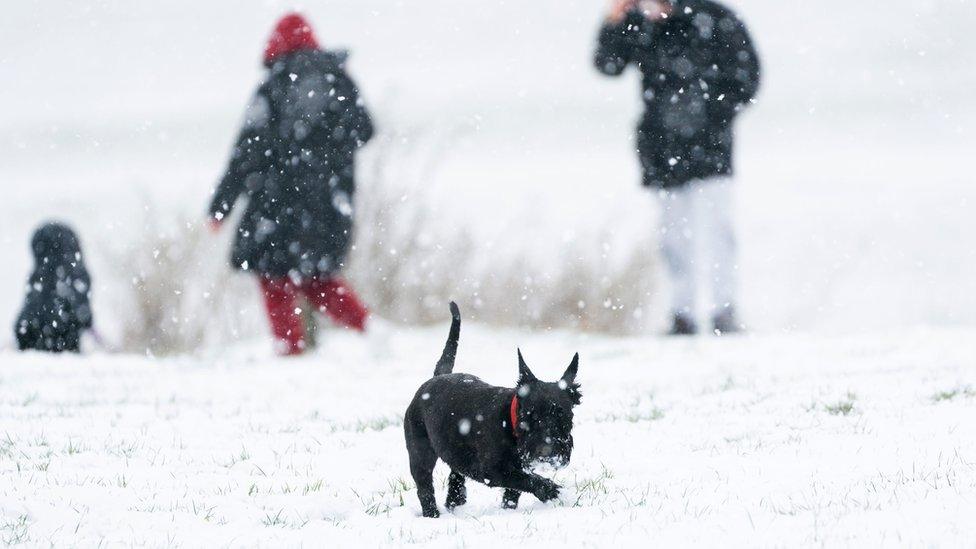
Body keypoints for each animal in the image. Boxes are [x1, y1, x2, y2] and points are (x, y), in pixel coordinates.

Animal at [404, 302, 580, 516]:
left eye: (564, 416)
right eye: (529, 416)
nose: (547, 450)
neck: (509, 422)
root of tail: (435, 377)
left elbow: (514, 491)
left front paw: (508, 510)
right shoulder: (491, 471)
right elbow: (523, 479)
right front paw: (551, 490)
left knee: (455, 475)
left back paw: (455, 502)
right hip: (420, 451)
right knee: (424, 486)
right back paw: (432, 514)